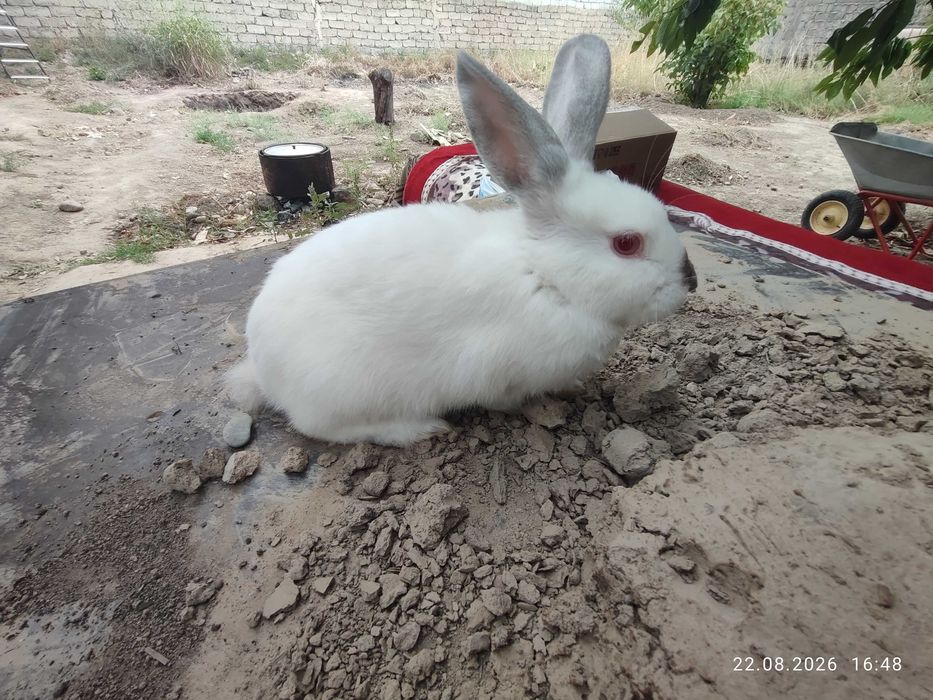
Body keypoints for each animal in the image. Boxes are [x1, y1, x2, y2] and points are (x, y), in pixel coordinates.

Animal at [226, 34, 698, 447]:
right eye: (627, 244)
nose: (690, 281)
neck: (545, 274)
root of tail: (262, 366)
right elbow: (506, 397)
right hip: (343, 389)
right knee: (323, 428)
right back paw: (419, 430)